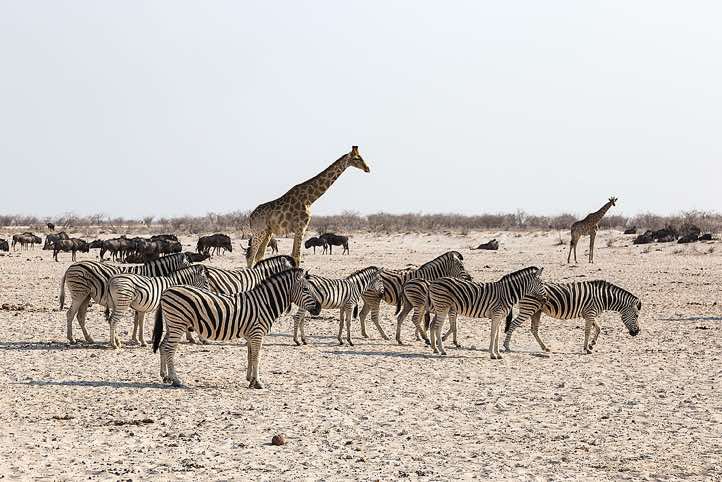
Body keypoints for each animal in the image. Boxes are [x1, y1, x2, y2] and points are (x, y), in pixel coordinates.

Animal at [59, 252, 190, 344]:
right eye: (188, 264)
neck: (151, 275)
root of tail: (71, 266)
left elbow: (136, 321)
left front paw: (135, 339)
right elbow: (137, 321)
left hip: (86, 295)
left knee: (80, 316)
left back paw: (89, 338)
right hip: (79, 293)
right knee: (70, 314)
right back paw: (71, 339)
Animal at [152, 268, 321, 388]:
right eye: (306, 289)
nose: (319, 308)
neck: (265, 302)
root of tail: (166, 291)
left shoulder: (251, 334)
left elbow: (250, 355)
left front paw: (250, 379)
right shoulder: (257, 333)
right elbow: (257, 357)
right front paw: (258, 382)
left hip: (172, 325)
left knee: (163, 345)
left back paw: (165, 376)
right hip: (178, 324)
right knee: (169, 349)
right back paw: (176, 380)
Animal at [502, 280, 641, 354]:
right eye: (636, 315)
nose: (637, 332)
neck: (603, 297)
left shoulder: (589, 314)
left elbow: (599, 328)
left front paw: (592, 344)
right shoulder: (590, 313)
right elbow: (587, 331)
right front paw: (587, 349)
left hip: (536, 311)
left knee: (534, 329)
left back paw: (545, 347)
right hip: (529, 309)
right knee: (514, 324)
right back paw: (506, 346)